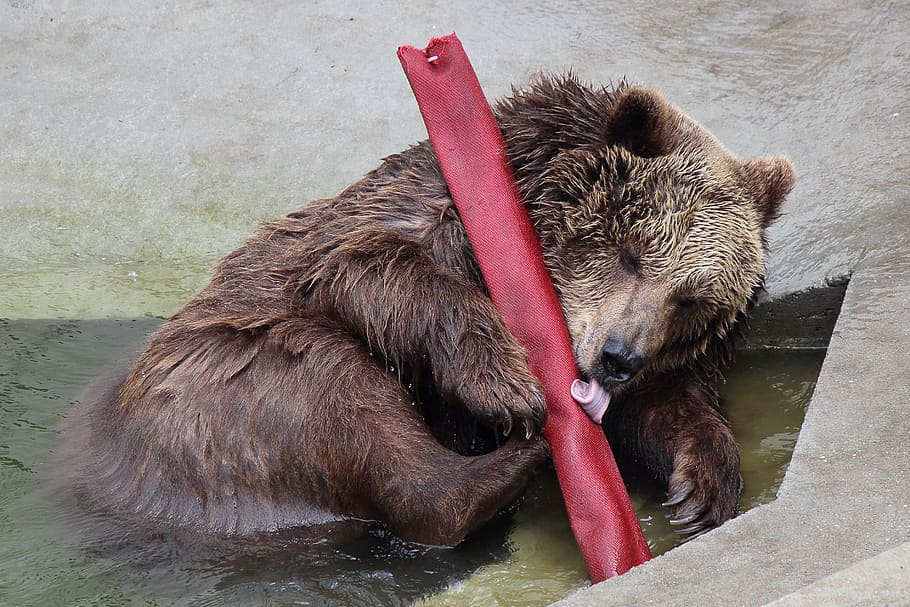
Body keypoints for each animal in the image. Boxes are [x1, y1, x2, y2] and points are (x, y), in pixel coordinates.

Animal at [59, 74, 794, 546]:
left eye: (692, 299)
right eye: (631, 252)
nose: (619, 357)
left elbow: (667, 406)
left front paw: (701, 486)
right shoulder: (411, 228)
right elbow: (375, 269)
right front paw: (508, 387)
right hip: (221, 381)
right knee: (334, 398)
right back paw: (505, 464)